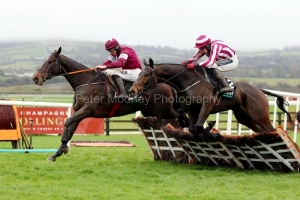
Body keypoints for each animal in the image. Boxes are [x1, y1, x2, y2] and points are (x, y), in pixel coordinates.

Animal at [32, 47, 188, 161]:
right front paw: (58, 152)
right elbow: (70, 128)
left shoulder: (87, 110)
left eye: (50, 61)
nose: (36, 78)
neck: (86, 81)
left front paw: (63, 148)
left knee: (180, 116)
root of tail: (167, 84)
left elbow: (67, 122)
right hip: (151, 112)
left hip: (163, 111)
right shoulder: (79, 111)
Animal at [129, 57, 292, 139]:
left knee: (271, 130)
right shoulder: (192, 111)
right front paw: (211, 129)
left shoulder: (207, 106)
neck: (188, 82)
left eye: (146, 74)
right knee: (261, 131)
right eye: (139, 73)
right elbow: (193, 129)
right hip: (243, 117)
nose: (132, 91)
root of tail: (259, 90)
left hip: (259, 115)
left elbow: (200, 126)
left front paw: (213, 131)